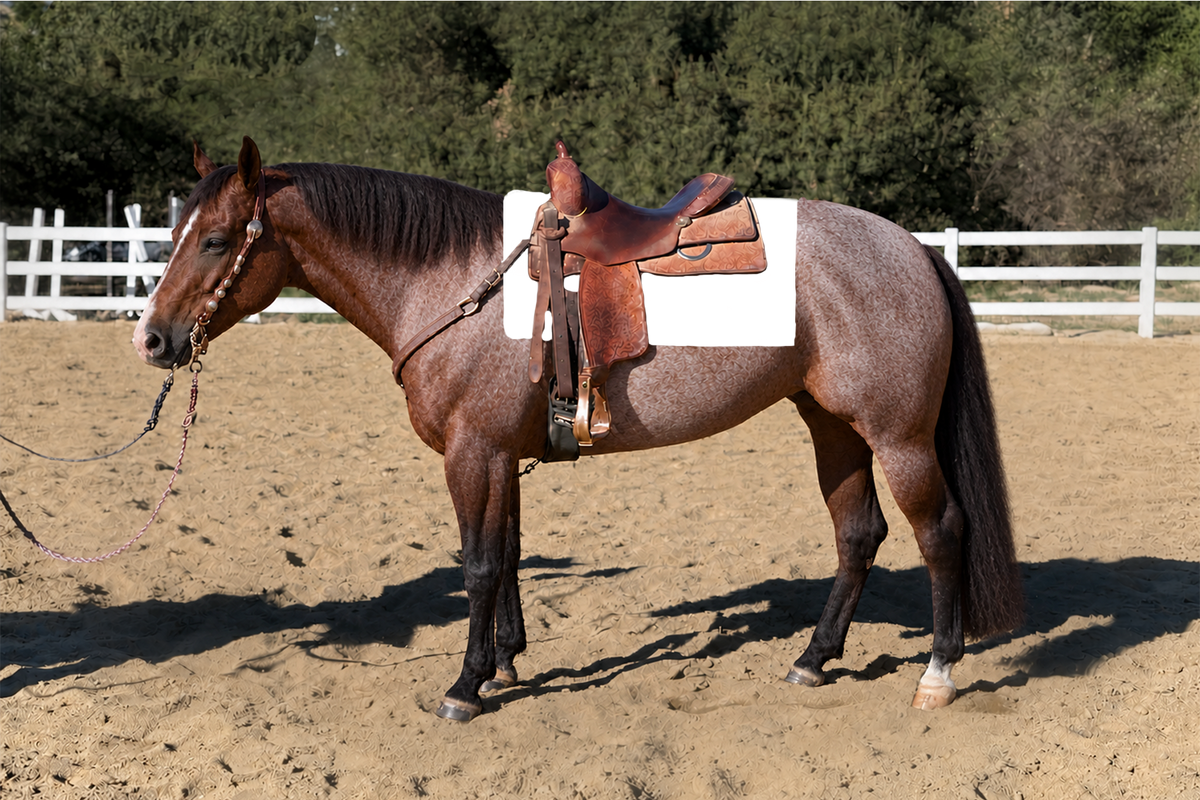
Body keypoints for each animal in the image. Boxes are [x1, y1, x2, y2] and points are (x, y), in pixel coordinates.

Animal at [133, 136, 1024, 722]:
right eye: (172, 234)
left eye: (216, 240)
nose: (152, 340)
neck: (458, 285)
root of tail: (912, 247)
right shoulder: (500, 455)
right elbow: (506, 557)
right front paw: (504, 664)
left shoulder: (474, 451)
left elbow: (479, 565)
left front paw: (465, 687)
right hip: (832, 425)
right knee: (858, 534)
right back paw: (812, 660)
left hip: (899, 435)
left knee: (941, 531)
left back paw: (938, 673)